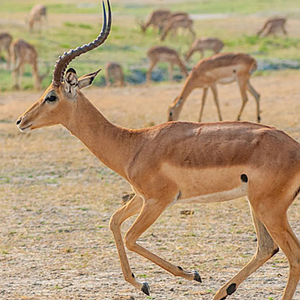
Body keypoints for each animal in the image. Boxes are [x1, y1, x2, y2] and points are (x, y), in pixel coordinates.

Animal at [16, 1, 300, 298]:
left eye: (51, 96)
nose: (21, 121)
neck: (134, 144)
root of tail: (295, 147)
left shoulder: (158, 200)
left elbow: (130, 236)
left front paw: (190, 274)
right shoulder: (141, 197)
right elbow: (114, 221)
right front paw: (143, 284)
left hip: (269, 209)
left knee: (293, 255)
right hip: (256, 205)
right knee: (267, 247)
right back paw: (223, 290)